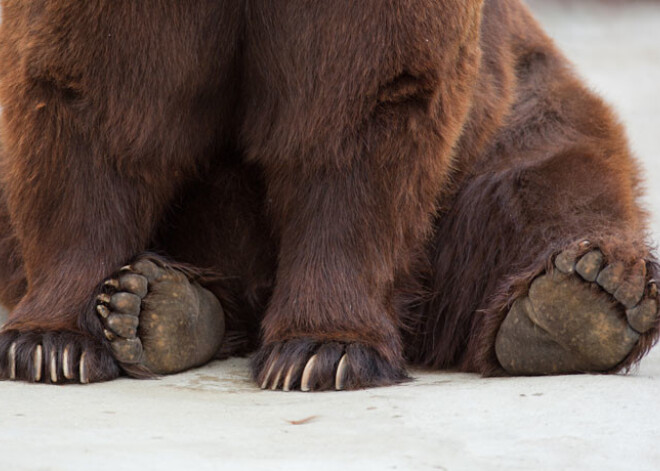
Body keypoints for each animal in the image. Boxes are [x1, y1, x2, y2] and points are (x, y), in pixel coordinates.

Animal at [0, 0, 656, 390]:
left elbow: (361, 111)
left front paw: (323, 351)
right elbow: (89, 101)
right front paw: (50, 345)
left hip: (516, 106)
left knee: (549, 175)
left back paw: (585, 296)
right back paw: (158, 305)